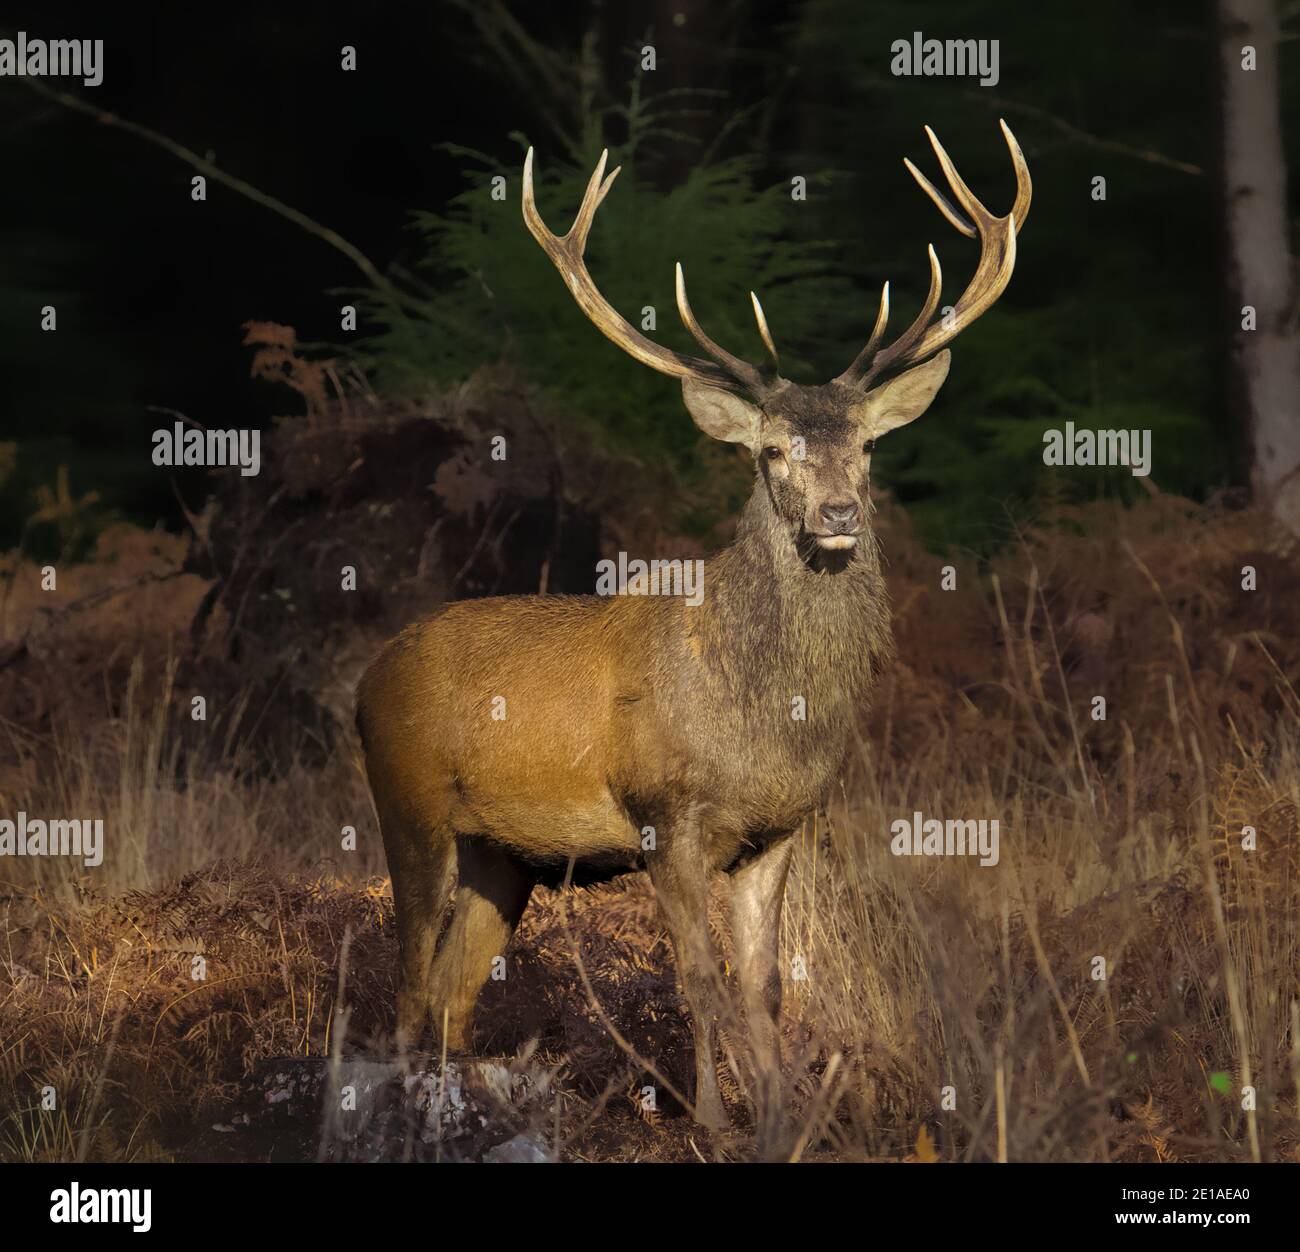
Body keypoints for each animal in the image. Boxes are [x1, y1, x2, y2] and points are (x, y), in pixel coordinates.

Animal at [356, 122, 1030, 1138]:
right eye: (773, 451)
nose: (838, 513)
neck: (766, 714)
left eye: (869, 445)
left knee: (448, 995)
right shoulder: (664, 814)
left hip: (500, 856)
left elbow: (765, 986)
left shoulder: (780, 829)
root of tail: (362, 681)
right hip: (410, 805)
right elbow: (699, 980)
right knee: (402, 990)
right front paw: (711, 1118)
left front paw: (786, 1117)